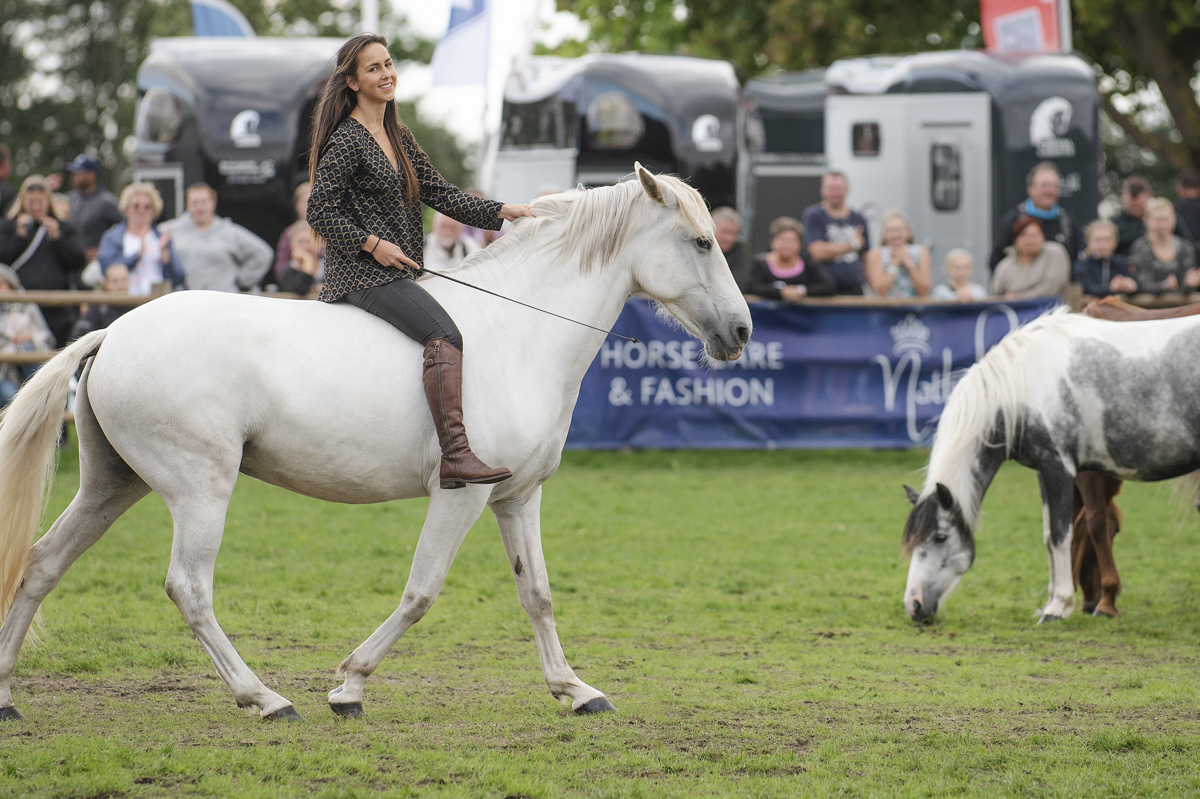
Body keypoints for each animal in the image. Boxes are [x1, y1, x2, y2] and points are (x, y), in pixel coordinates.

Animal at [0, 165, 752, 722]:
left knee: (42, 564)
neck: (519, 334)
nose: (742, 332)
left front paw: (575, 689)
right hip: (199, 489)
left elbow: (536, 592)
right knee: (189, 587)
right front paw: (348, 685)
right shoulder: (462, 494)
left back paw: (8, 693)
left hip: (112, 484)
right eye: (701, 242)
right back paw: (264, 697)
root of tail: (114, 331)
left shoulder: (517, 497)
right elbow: (422, 591)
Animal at [901, 307, 1200, 623]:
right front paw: (1050, 603)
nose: (913, 604)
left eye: (940, 537)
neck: (1022, 386)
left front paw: (1058, 607)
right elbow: (1048, 536)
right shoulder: (1043, 473)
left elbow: (1060, 535)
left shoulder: (1058, 467)